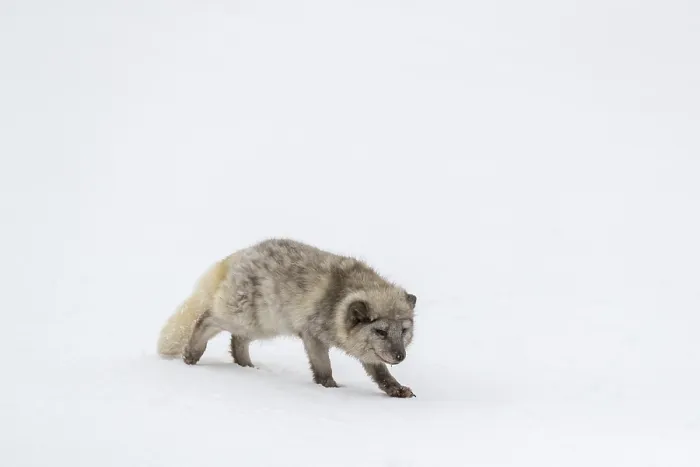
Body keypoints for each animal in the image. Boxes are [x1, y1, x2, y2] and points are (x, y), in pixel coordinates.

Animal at [157, 238, 417, 398]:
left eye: (403, 331)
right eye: (380, 331)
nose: (400, 356)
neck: (338, 300)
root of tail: (236, 256)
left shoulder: (367, 352)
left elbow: (382, 375)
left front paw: (396, 390)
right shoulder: (312, 335)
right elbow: (323, 369)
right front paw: (331, 390)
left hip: (261, 326)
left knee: (237, 341)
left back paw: (248, 367)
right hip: (247, 319)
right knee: (207, 319)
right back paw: (191, 354)